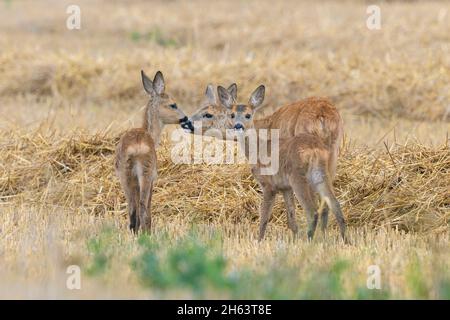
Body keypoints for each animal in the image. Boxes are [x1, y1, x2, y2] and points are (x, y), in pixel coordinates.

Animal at [114, 71, 192, 234]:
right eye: (173, 104)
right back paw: (146, 233)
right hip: (147, 171)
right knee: (143, 205)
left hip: (125, 174)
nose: (186, 119)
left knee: (132, 207)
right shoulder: (153, 178)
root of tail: (136, 147)